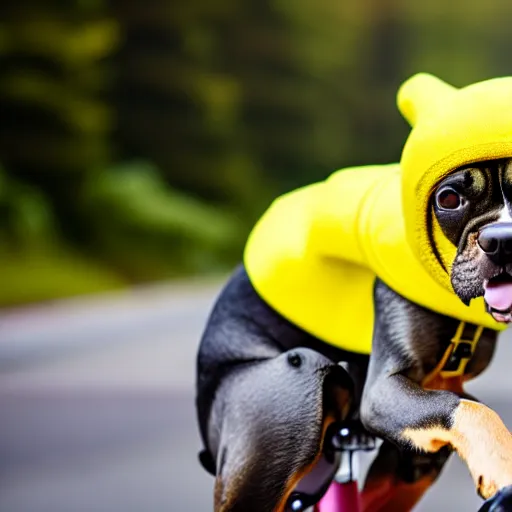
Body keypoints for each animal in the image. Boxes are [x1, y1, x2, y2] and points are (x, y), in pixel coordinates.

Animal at [194, 73, 512, 512]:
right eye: (449, 198)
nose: (502, 240)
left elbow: (463, 405)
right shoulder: (383, 393)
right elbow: (470, 410)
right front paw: (504, 465)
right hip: (293, 387)